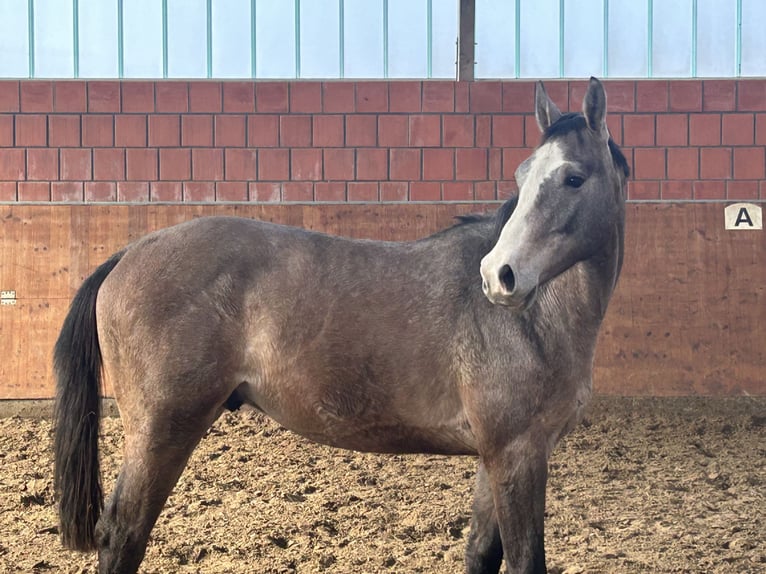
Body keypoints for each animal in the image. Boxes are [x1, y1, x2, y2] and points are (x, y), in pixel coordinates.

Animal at [53, 77, 628, 574]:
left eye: (573, 177)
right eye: (523, 177)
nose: (499, 275)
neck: (537, 319)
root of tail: (130, 252)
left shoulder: (498, 457)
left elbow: (482, 554)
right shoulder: (517, 455)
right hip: (161, 430)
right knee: (124, 534)